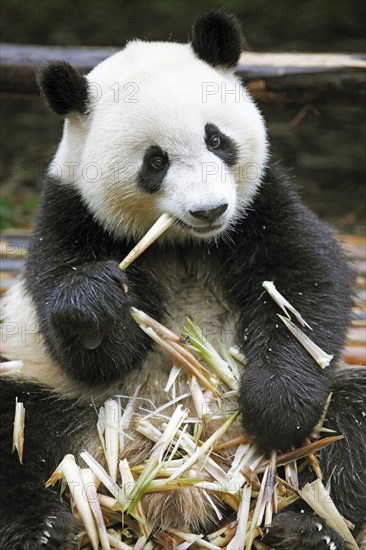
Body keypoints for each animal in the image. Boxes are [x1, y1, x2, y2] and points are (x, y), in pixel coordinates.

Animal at [0, 9, 366, 550]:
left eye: (216, 138)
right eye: (155, 161)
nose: (209, 209)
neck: (185, 244)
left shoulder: (262, 206)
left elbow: (305, 285)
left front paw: (277, 409)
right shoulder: (69, 217)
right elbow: (87, 348)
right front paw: (96, 302)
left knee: (351, 418)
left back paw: (309, 525)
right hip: (57, 399)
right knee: (16, 424)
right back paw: (41, 528)